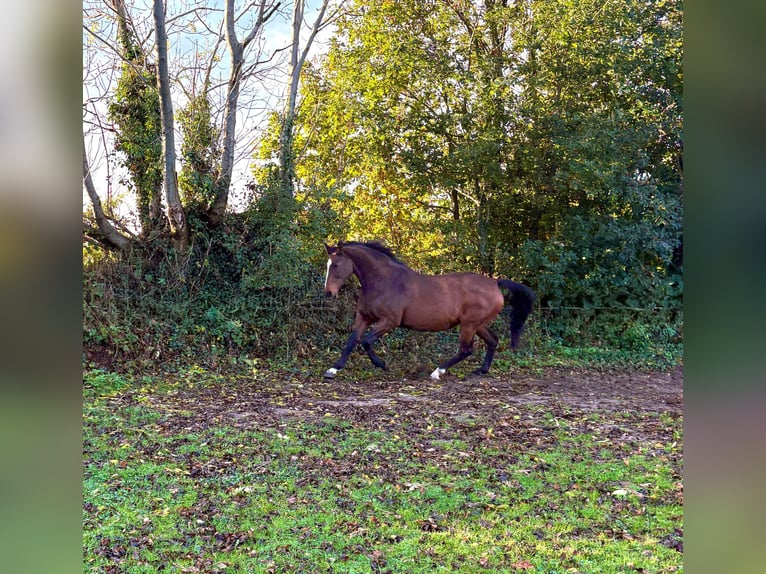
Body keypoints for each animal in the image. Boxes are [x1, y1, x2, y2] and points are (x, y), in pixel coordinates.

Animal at [322, 241, 535, 380]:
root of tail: (494, 283)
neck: (383, 281)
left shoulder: (389, 321)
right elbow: (352, 341)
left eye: (336, 265)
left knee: (466, 349)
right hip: (478, 325)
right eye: (328, 264)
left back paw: (437, 372)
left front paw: (382, 365)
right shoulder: (364, 317)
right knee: (493, 341)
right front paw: (333, 370)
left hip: (469, 325)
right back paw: (481, 371)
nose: (328, 293)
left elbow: (366, 341)